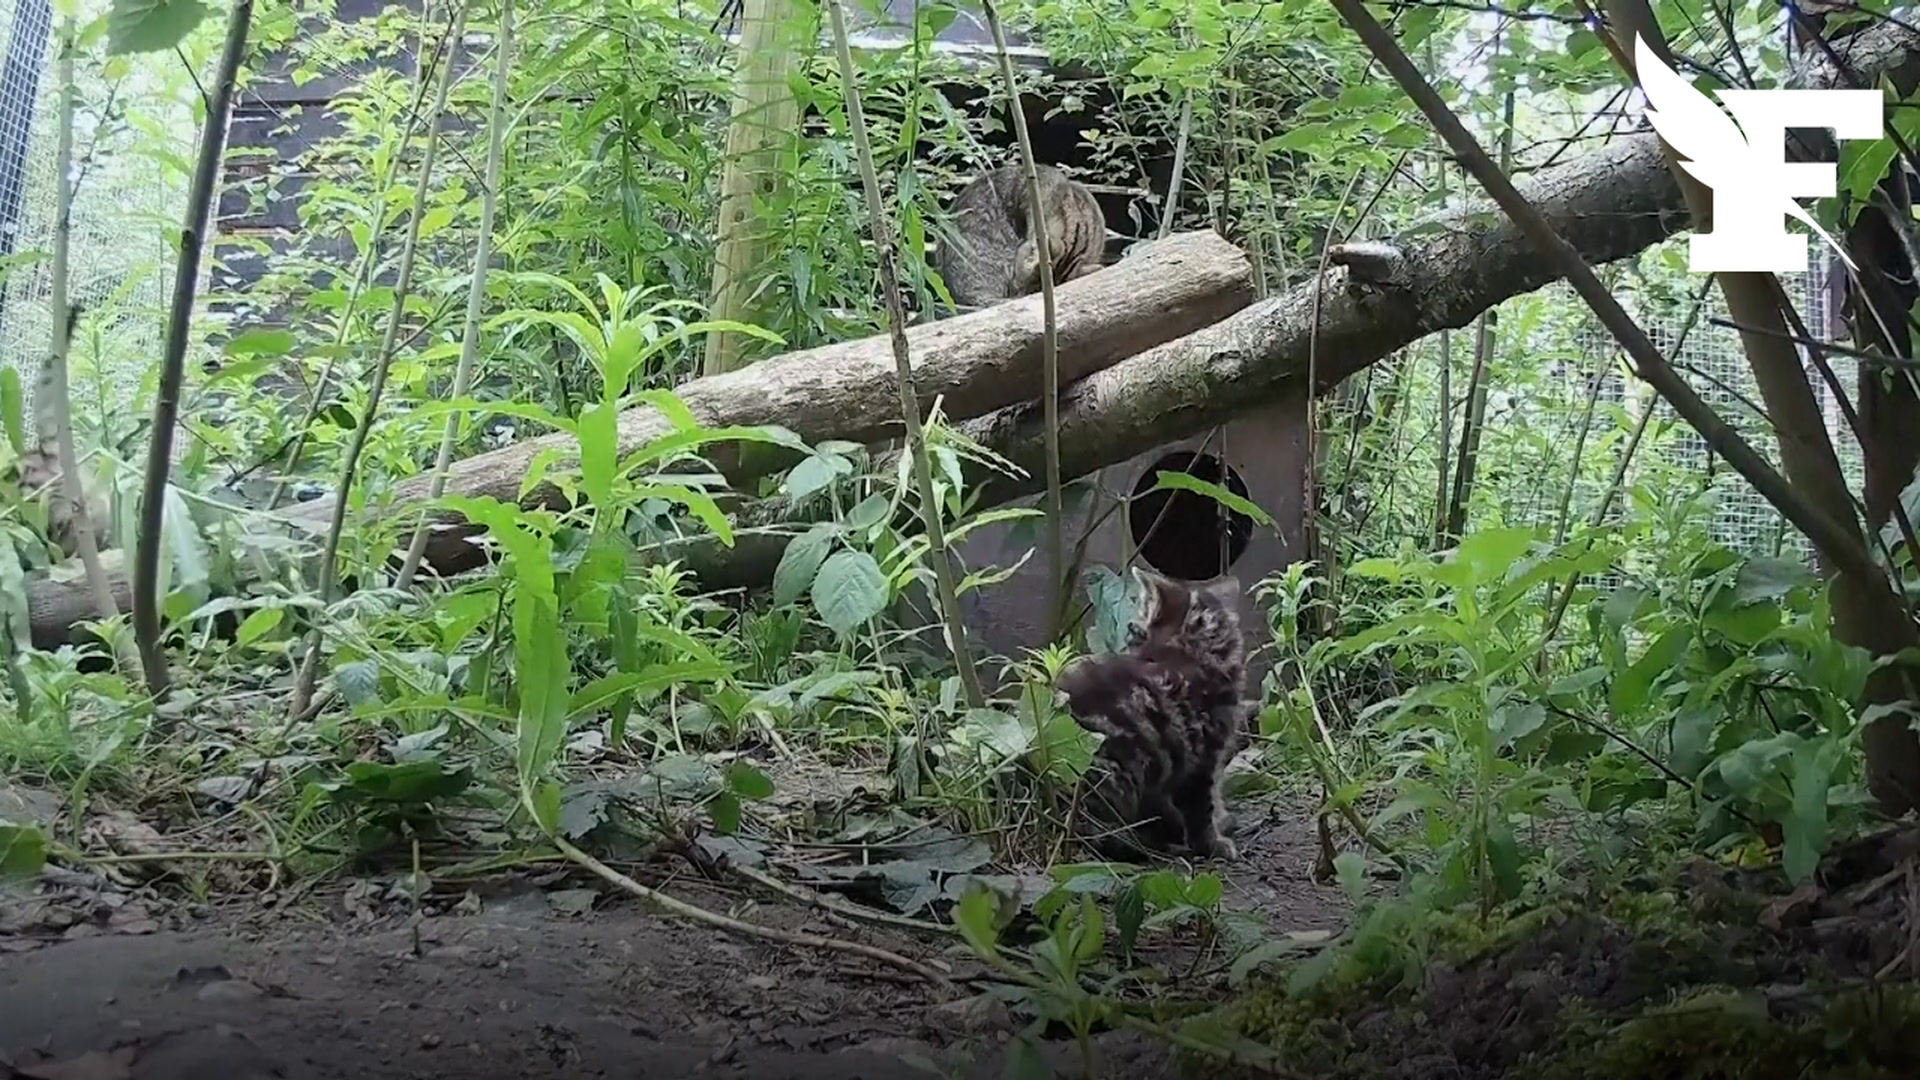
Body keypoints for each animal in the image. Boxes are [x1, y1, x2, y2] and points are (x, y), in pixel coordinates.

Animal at [1059, 564, 1251, 857]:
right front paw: (1213, 843)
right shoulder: (1201, 758)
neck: (1186, 651)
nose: (1129, 635)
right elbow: (1201, 809)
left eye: (1136, 628)